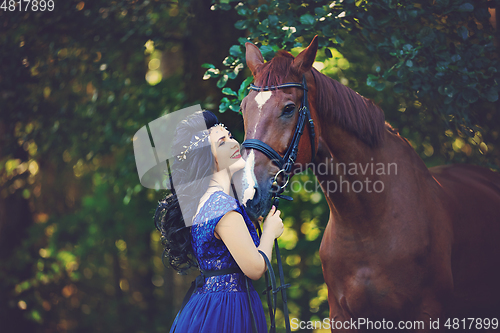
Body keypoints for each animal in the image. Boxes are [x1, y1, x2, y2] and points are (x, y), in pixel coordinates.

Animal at [239, 35, 500, 330]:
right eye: (244, 108)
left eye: (289, 108)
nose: (248, 192)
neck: (367, 225)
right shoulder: (343, 317)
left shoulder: (425, 316)